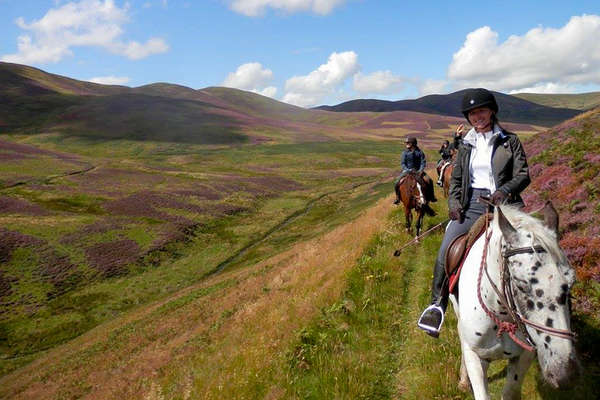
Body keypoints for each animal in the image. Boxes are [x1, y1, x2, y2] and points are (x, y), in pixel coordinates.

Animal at [452, 203, 580, 400]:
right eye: (520, 284)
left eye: (571, 282)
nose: (566, 375)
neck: (501, 317)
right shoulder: (476, 356)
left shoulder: (524, 357)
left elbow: (510, 391)